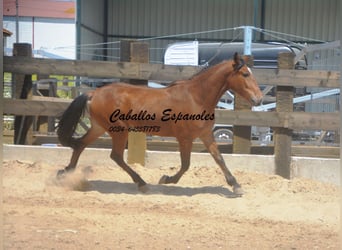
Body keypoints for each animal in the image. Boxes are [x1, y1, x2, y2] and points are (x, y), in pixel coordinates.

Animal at [57, 53, 264, 195]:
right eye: (245, 74)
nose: (259, 99)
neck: (197, 97)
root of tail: (94, 93)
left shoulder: (206, 134)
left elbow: (219, 158)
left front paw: (236, 185)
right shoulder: (185, 138)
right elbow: (186, 164)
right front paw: (166, 179)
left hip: (100, 127)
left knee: (81, 144)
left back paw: (65, 173)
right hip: (119, 130)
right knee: (115, 155)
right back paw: (141, 183)